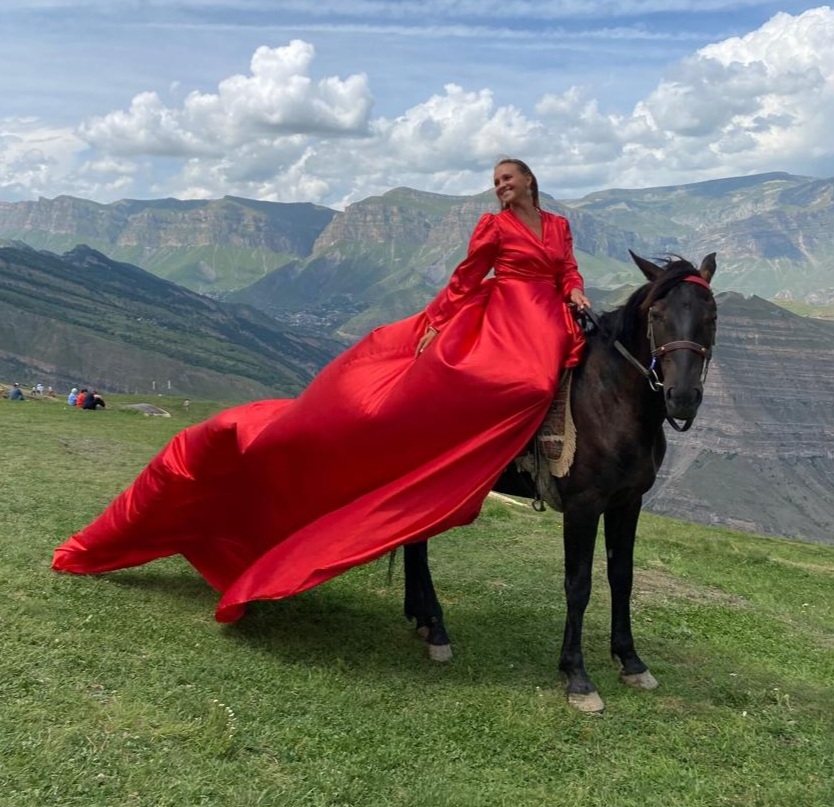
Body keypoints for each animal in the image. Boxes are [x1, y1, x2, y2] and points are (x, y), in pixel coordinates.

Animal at [402, 250, 718, 713]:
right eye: (657, 315)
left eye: (711, 316)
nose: (681, 398)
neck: (613, 401)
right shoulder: (584, 507)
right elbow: (579, 584)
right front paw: (577, 675)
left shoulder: (628, 503)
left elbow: (621, 576)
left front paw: (631, 661)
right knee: (419, 544)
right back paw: (438, 630)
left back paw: (424, 621)